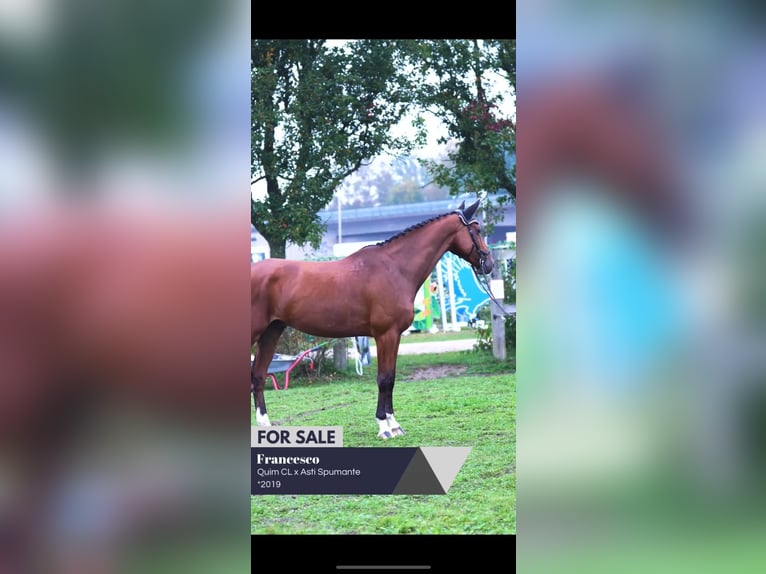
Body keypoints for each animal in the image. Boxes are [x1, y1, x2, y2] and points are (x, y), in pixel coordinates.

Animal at [251, 199, 494, 439]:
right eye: (476, 229)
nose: (489, 263)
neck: (394, 268)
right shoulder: (386, 335)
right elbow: (384, 379)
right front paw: (384, 426)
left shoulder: (394, 336)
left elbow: (391, 378)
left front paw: (394, 425)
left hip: (271, 333)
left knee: (259, 376)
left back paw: (265, 425)